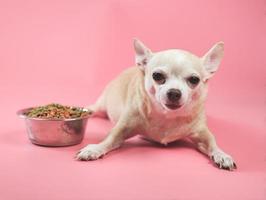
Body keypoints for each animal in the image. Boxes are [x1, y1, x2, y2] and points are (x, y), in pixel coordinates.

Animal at [76, 38, 237, 170]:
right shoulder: (122, 128)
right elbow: (110, 139)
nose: (174, 92)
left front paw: (222, 155)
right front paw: (95, 149)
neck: (167, 116)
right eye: (157, 76)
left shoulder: (202, 133)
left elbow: (212, 142)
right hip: (102, 104)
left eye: (194, 80)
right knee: (94, 108)